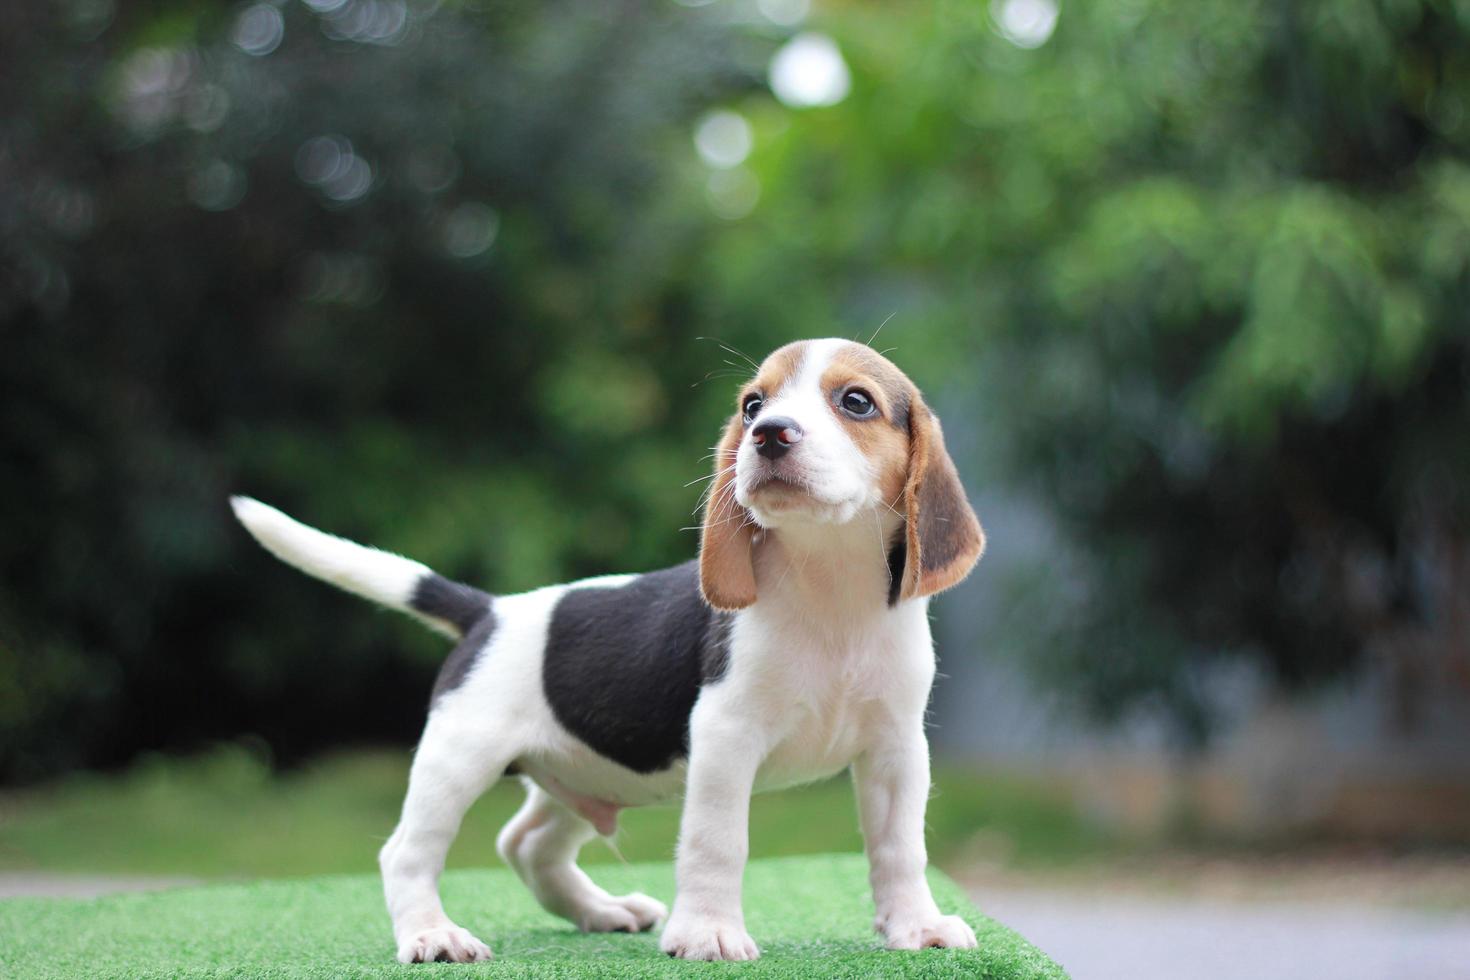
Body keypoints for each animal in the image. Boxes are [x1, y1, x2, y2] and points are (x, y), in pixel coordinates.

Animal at [232, 339, 987, 963]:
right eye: (752, 404)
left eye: (855, 401)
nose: (769, 433)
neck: (831, 586)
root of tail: (490, 610)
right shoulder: (725, 735)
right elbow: (718, 841)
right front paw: (709, 933)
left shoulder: (896, 748)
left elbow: (899, 847)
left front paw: (916, 926)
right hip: (458, 756)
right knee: (407, 854)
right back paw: (432, 935)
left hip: (576, 773)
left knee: (525, 844)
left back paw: (601, 911)